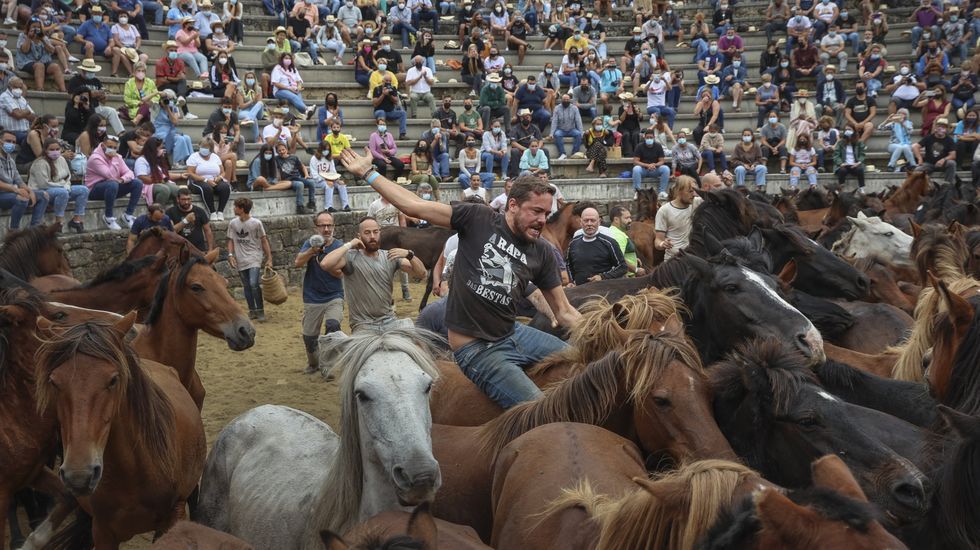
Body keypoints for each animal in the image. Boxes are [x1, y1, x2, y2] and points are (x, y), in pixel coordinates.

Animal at [0, 288, 124, 550]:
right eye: (59, 315)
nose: (120, 318)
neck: (10, 416)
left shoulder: (34, 473)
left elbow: (67, 498)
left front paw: (30, 542)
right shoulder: (3, 494)